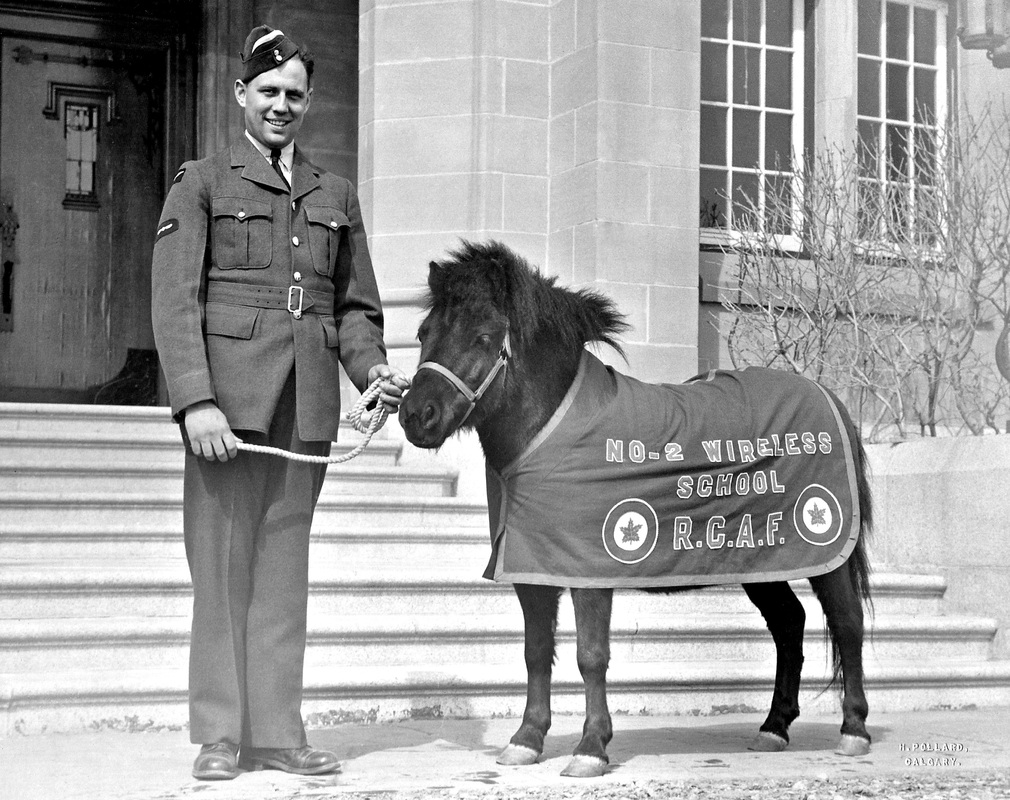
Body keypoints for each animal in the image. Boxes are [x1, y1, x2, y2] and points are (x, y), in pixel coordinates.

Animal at [397, 240, 872, 779]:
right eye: (424, 333)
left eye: (482, 337)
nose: (416, 416)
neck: (548, 436)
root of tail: (827, 397)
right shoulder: (533, 569)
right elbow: (536, 651)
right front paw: (526, 740)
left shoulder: (588, 572)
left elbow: (590, 656)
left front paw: (590, 748)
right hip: (762, 558)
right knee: (789, 624)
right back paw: (773, 728)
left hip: (825, 551)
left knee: (847, 622)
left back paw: (853, 730)